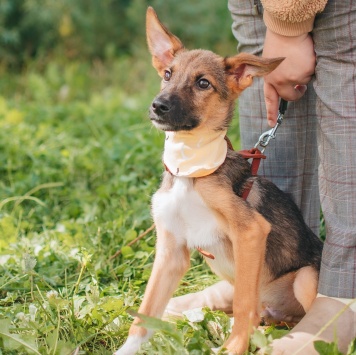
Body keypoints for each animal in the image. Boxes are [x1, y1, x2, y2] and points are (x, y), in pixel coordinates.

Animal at [114, 6, 322, 354]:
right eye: (167, 74)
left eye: (203, 83)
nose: (158, 106)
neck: (190, 171)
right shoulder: (171, 251)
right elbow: (144, 316)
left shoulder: (251, 232)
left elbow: (244, 306)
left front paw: (234, 347)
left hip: (305, 278)